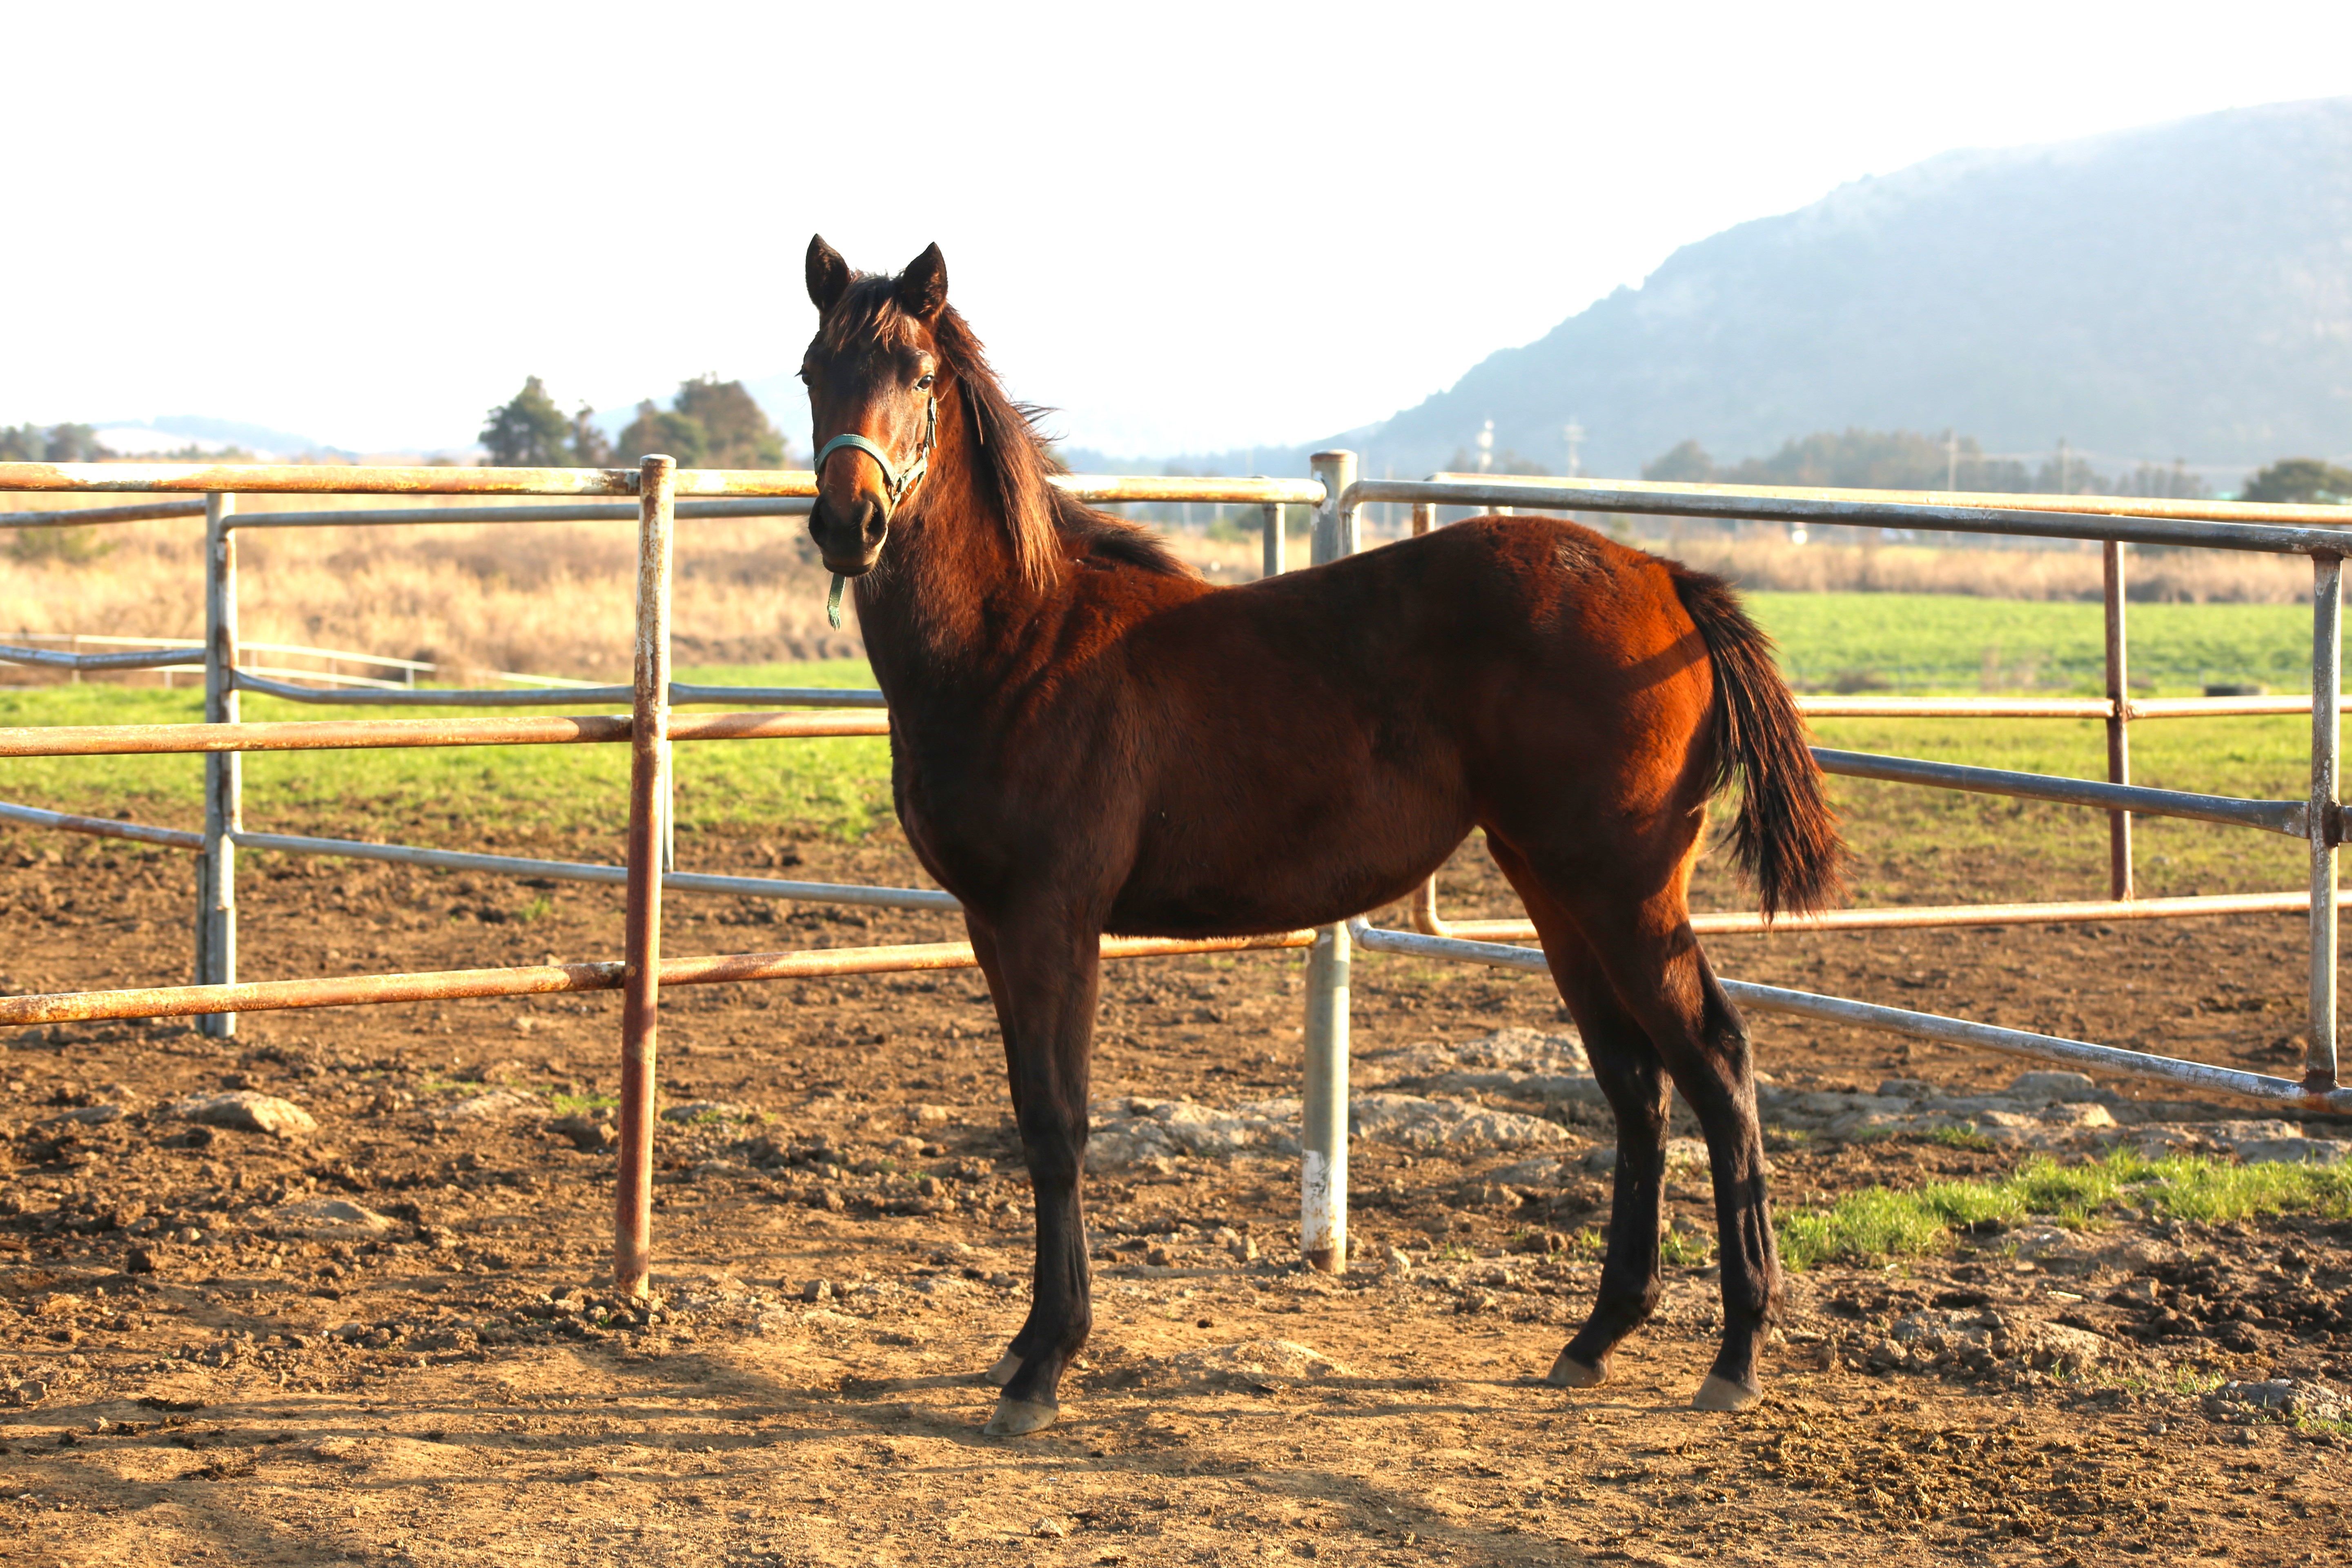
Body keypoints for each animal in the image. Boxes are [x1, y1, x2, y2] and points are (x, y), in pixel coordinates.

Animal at [800, 236, 1844, 1439]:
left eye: (919, 377)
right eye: (813, 372)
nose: (847, 525)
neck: (1017, 641)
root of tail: (1666, 577)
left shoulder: (1053, 919)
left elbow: (1060, 1125)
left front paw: (1046, 1364)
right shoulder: (988, 925)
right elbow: (1027, 1118)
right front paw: (1024, 1342)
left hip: (1623, 890)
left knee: (1715, 1063)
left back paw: (1736, 1350)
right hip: (1556, 889)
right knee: (1634, 1083)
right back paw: (1595, 1336)